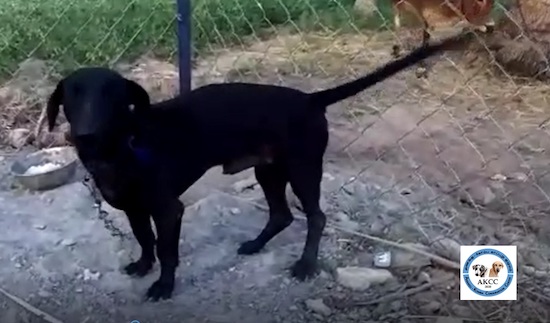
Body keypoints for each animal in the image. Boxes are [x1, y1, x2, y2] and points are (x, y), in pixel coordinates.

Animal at [46, 33, 470, 302]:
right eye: (72, 96)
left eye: (112, 96)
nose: (83, 134)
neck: (125, 147)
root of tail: (310, 99)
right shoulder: (134, 208)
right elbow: (144, 240)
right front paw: (141, 266)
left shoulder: (168, 210)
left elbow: (166, 250)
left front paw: (164, 286)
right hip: (269, 171)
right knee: (281, 215)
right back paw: (255, 244)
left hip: (302, 169)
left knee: (315, 217)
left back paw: (305, 265)